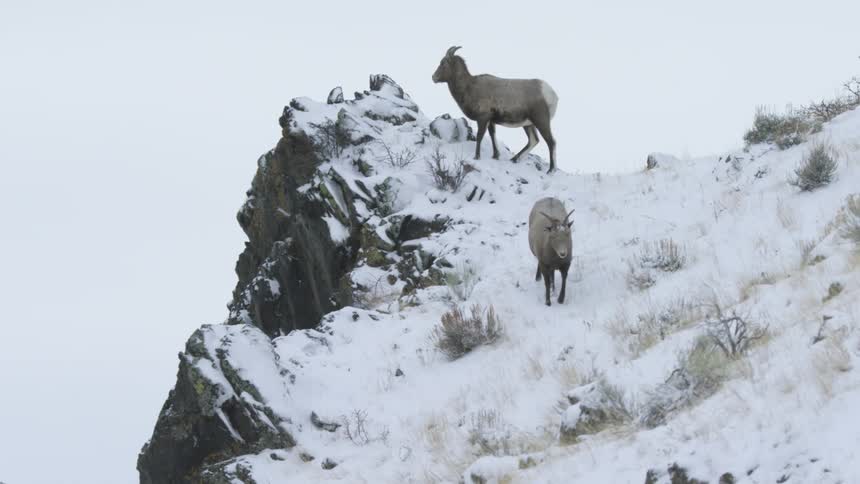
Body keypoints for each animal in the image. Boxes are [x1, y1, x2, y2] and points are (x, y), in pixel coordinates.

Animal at [432, 46, 561, 173]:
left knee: (551, 142)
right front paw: (495, 156)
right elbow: (492, 135)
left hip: (541, 121)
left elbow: (480, 136)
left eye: (443, 63)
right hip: (528, 124)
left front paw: (477, 157)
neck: (469, 87)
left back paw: (551, 170)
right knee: (533, 140)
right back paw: (514, 159)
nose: (433, 77)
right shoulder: (491, 121)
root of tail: (550, 93)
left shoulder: (483, 118)